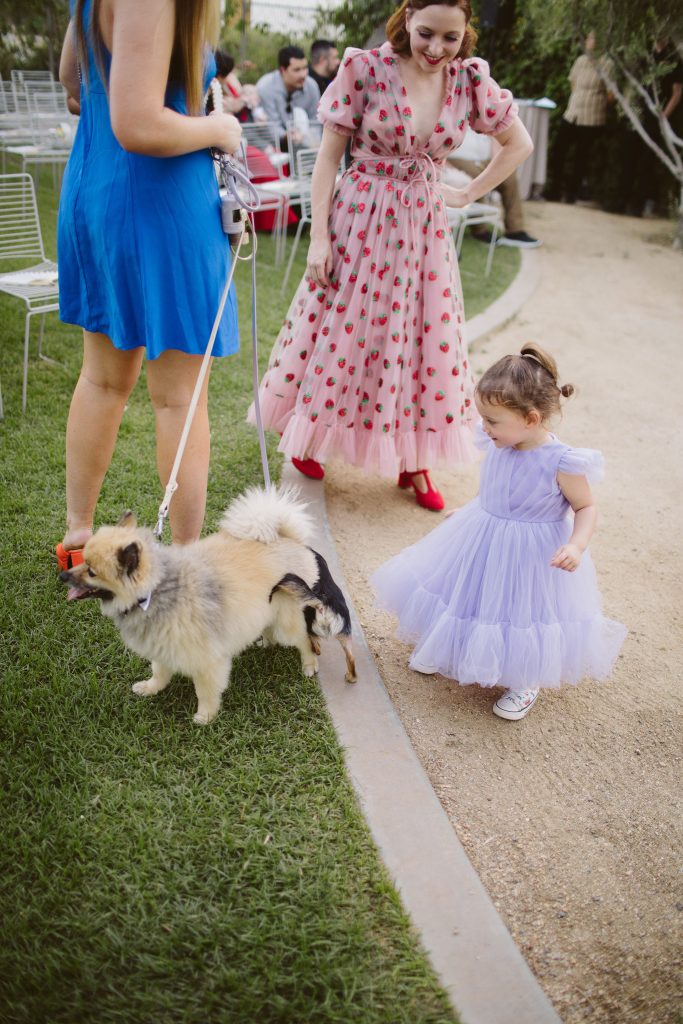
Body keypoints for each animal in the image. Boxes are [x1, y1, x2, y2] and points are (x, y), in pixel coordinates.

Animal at [60, 487, 356, 724]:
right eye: (82, 560)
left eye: (91, 572)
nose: (63, 575)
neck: (157, 590)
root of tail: (289, 539)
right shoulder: (163, 644)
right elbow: (160, 672)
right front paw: (151, 688)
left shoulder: (207, 661)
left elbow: (205, 691)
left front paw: (206, 716)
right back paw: (264, 641)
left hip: (287, 618)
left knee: (304, 639)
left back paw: (309, 665)